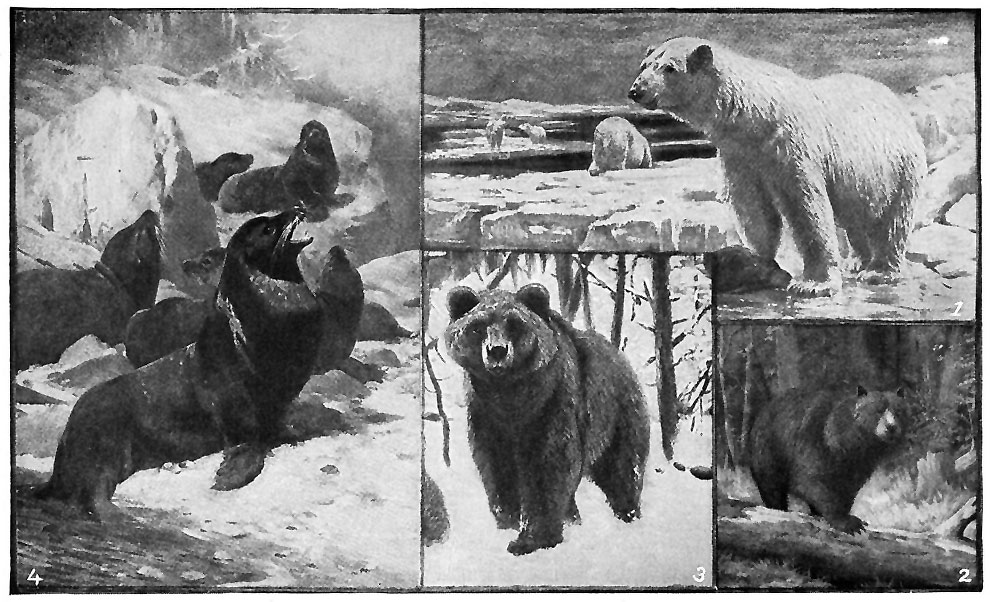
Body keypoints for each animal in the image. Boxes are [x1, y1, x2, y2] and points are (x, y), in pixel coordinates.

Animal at [444, 283, 650, 555]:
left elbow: (549, 468)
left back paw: (627, 515)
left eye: (514, 323)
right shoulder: (488, 418)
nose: (497, 350)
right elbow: (497, 471)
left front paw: (532, 538)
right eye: (477, 326)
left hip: (617, 418)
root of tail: (622, 359)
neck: (509, 394)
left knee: (623, 471)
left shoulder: (550, 407)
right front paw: (509, 523)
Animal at [629, 37, 926, 297]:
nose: (636, 91)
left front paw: (813, 284)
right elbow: (752, 208)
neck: (754, 117)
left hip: (900, 166)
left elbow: (806, 207)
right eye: (645, 65)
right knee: (854, 217)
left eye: (669, 67)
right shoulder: (740, 155)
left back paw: (880, 270)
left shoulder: (791, 147)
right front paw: (756, 262)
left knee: (893, 220)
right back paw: (856, 261)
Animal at [747, 385, 909, 534]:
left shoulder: (860, 466)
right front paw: (848, 522)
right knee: (772, 487)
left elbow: (848, 489)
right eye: (878, 410)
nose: (891, 427)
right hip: (768, 451)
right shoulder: (814, 443)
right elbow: (812, 482)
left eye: (899, 411)